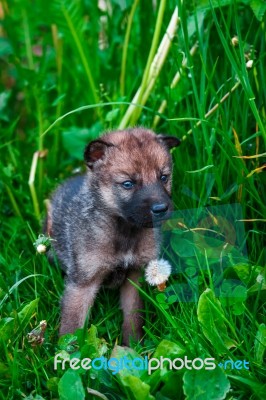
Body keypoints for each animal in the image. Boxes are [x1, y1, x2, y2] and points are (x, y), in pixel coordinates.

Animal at [45, 127, 180, 344]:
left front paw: (132, 347)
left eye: (163, 177)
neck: (125, 233)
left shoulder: (134, 277)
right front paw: (68, 353)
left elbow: (133, 318)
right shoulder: (83, 283)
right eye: (128, 184)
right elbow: (71, 327)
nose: (161, 209)